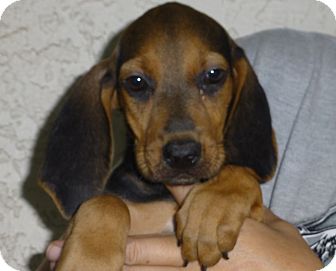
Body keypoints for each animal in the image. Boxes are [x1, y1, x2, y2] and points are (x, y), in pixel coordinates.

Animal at [39, 2, 276, 271]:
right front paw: (89, 260)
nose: (182, 155)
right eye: (136, 82)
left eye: (214, 74)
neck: (164, 195)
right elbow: (107, 201)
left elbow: (237, 171)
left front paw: (211, 210)